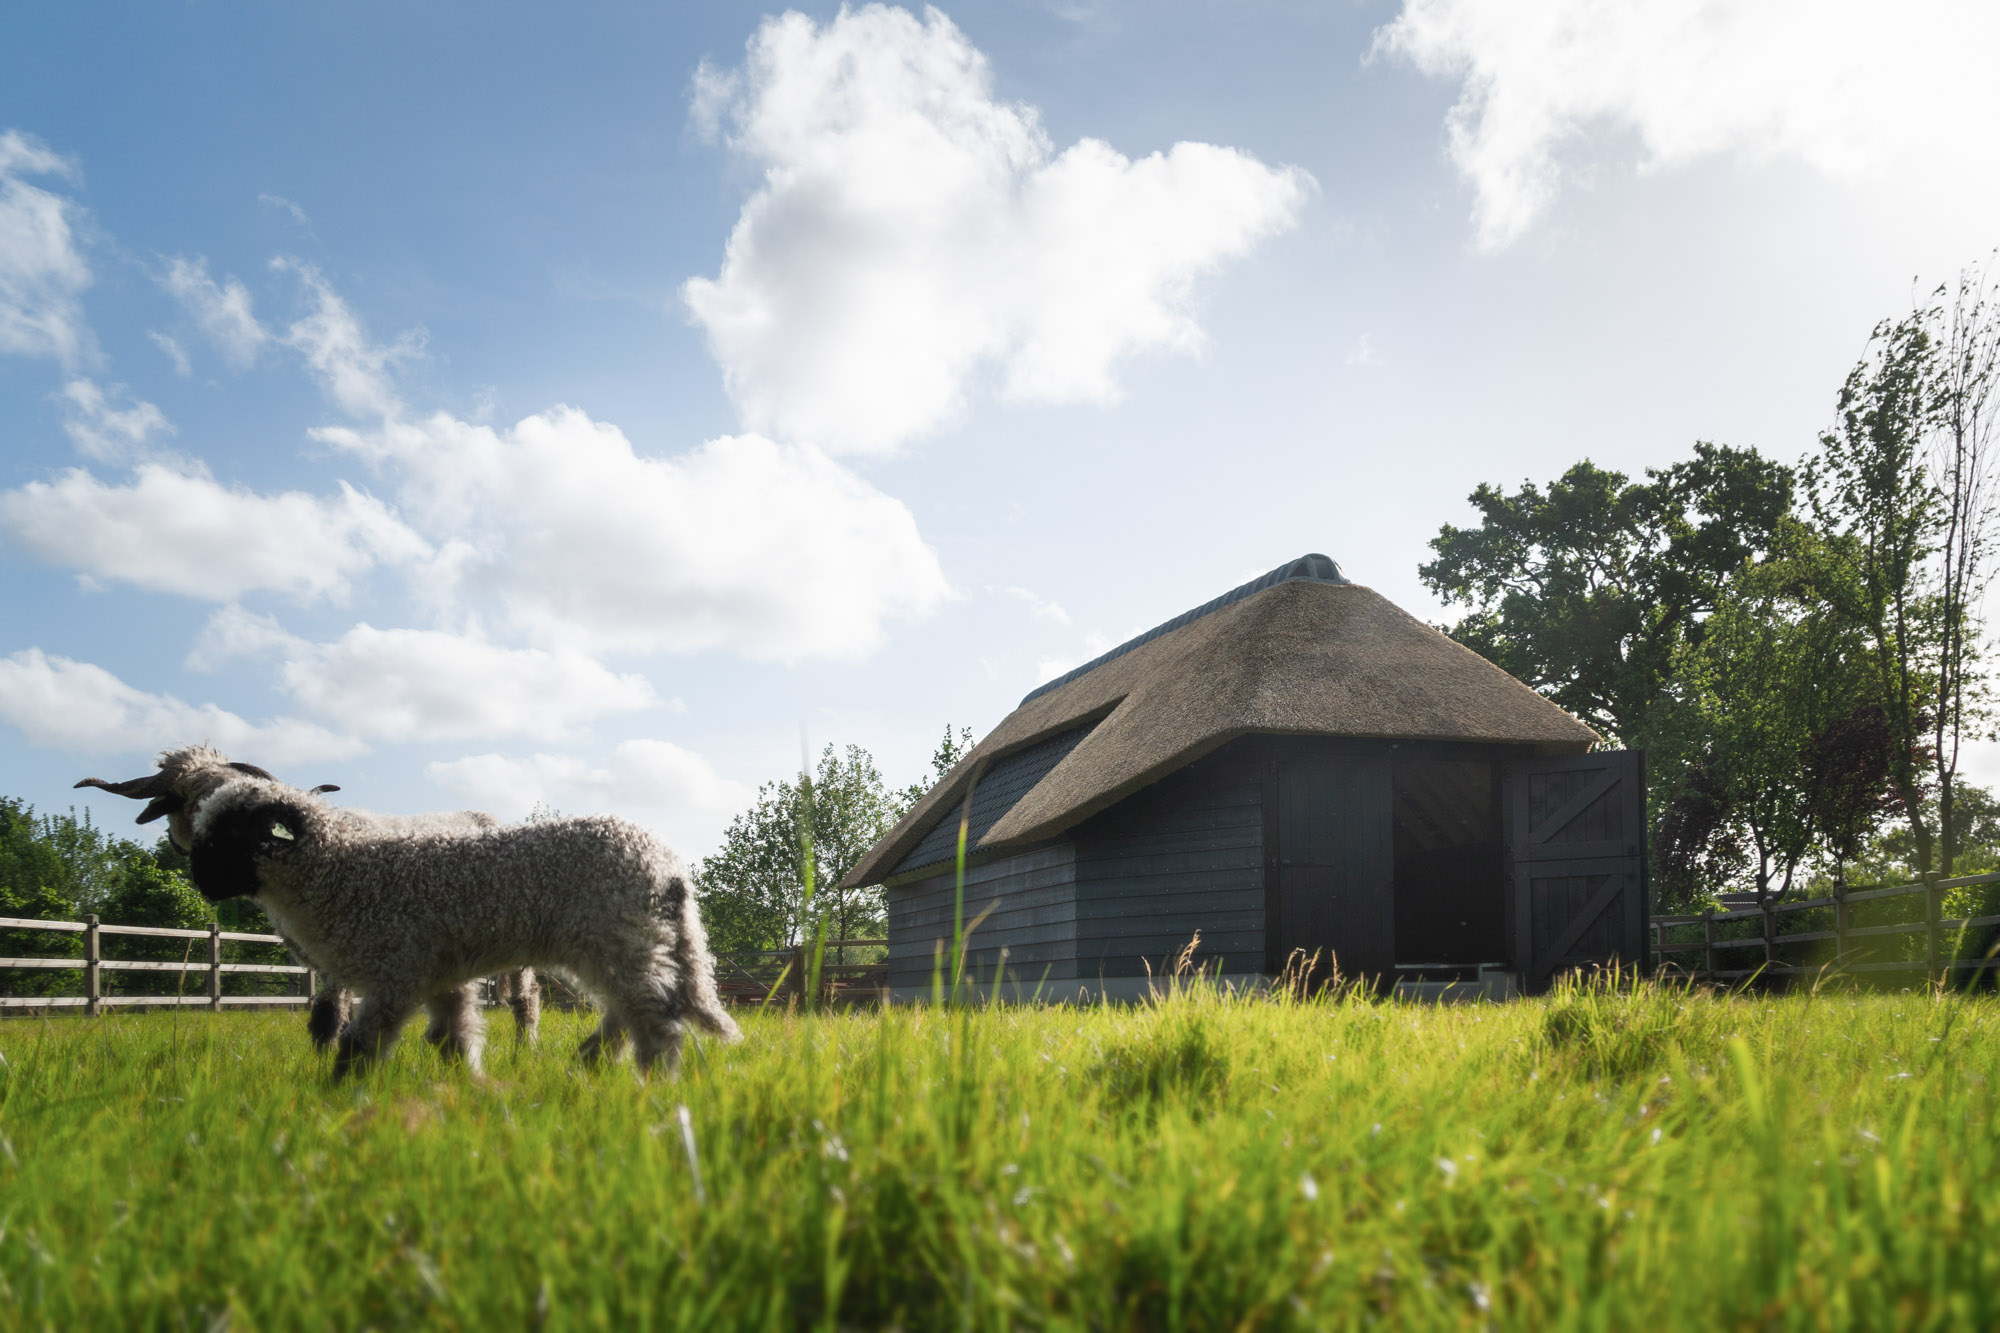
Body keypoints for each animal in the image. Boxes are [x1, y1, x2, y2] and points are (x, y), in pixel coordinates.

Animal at [184, 772, 736, 1072]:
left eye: (231, 834)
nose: (200, 882)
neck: (343, 869)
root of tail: (670, 867)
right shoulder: (439, 977)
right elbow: (455, 1037)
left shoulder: (398, 970)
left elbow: (359, 1048)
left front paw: (335, 1105)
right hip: (622, 943)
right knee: (632, 1010)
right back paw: (589, 1063)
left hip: (619, 938)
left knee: (654, 1019)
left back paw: (651, 1086)